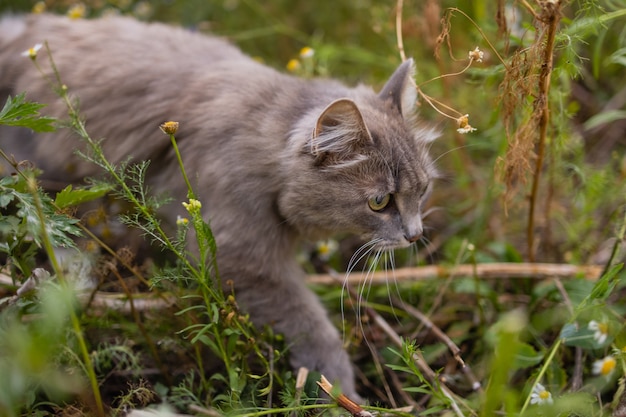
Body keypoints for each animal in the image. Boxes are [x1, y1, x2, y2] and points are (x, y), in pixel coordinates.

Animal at [0, 14, 436, 398]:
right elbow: (310, 325)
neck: (268, 145)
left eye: (424, 189)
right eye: (379, 202)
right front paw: (339, 391)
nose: (415, 236)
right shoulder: (240, 258)